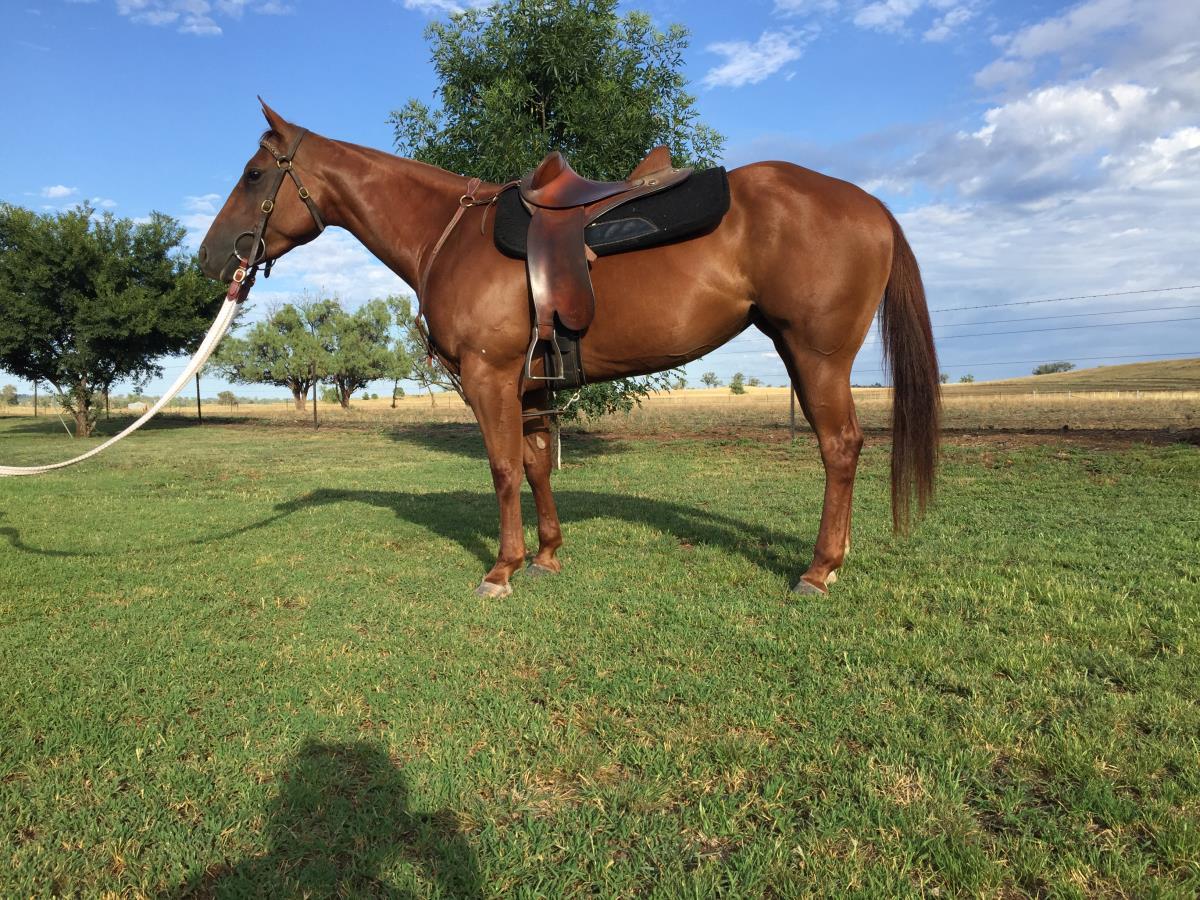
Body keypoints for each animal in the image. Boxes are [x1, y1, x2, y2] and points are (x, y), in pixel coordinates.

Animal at [197, 100, 940, 599]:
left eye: (255, 173)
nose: (210, 258)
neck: (448, 235)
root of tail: (869, 204)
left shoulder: (489, 377)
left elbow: (502, 468)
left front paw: (502, 569)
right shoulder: (528, 386)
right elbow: (535, 467)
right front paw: (548, 554)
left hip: (817, 356)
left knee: (840, 448)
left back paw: (818, 570)